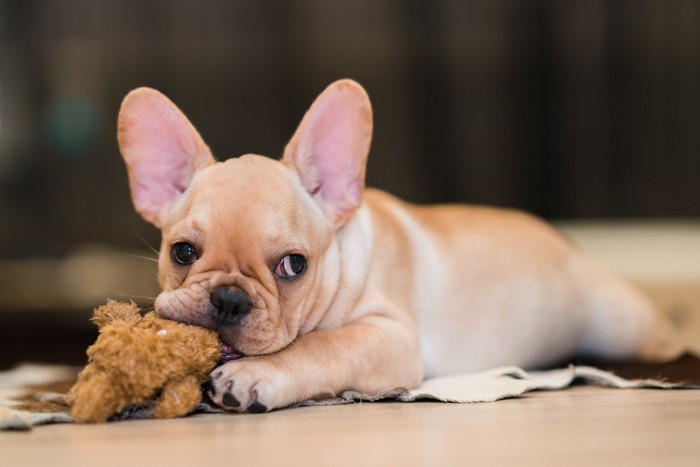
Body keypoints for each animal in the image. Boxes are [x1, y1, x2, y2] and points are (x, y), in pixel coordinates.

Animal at [117, 79, 680, 414]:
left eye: (294, 266)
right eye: (183, 252)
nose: (228, 299)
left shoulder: (388, 335)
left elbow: (322, 345)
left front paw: (255, 374)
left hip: (620, 326)